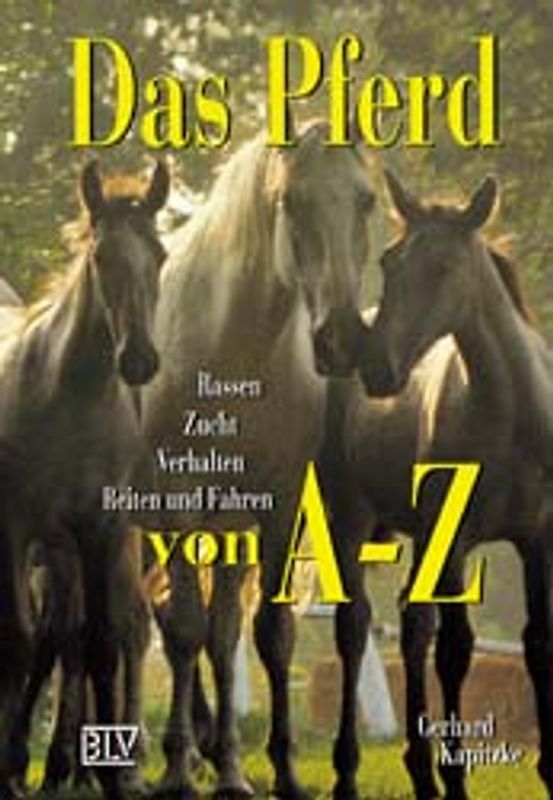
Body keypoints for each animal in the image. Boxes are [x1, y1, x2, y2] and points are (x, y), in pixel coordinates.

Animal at [0, 159, 169, 800]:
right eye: (102, 258)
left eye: (160, 255)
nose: (139, 360)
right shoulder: (14, 528)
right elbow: (18, 642)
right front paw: (13, 771)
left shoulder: (99, 530)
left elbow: (98, 643)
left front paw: (114, 778)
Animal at [139, 118, 376, 799]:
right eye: (289, 202)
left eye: (366, 200)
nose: (341, 338)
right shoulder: (174, 504)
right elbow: (184, 629)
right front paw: (177, 771)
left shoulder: (272, 508)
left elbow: (264, 635)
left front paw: (274, 773)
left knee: (209, 633)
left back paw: (217, 759)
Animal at [325, 172, 553, 800]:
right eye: (389, 259)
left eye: (446, 267)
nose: (377, 367)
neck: (507, 416)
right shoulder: (453, 543)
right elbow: (456, 650)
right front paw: (456, 776)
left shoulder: (538, 541)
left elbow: (537, 640)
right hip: (350, 521)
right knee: (355, 628)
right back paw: (348, 771)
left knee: (411, 626)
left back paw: (419, 771)